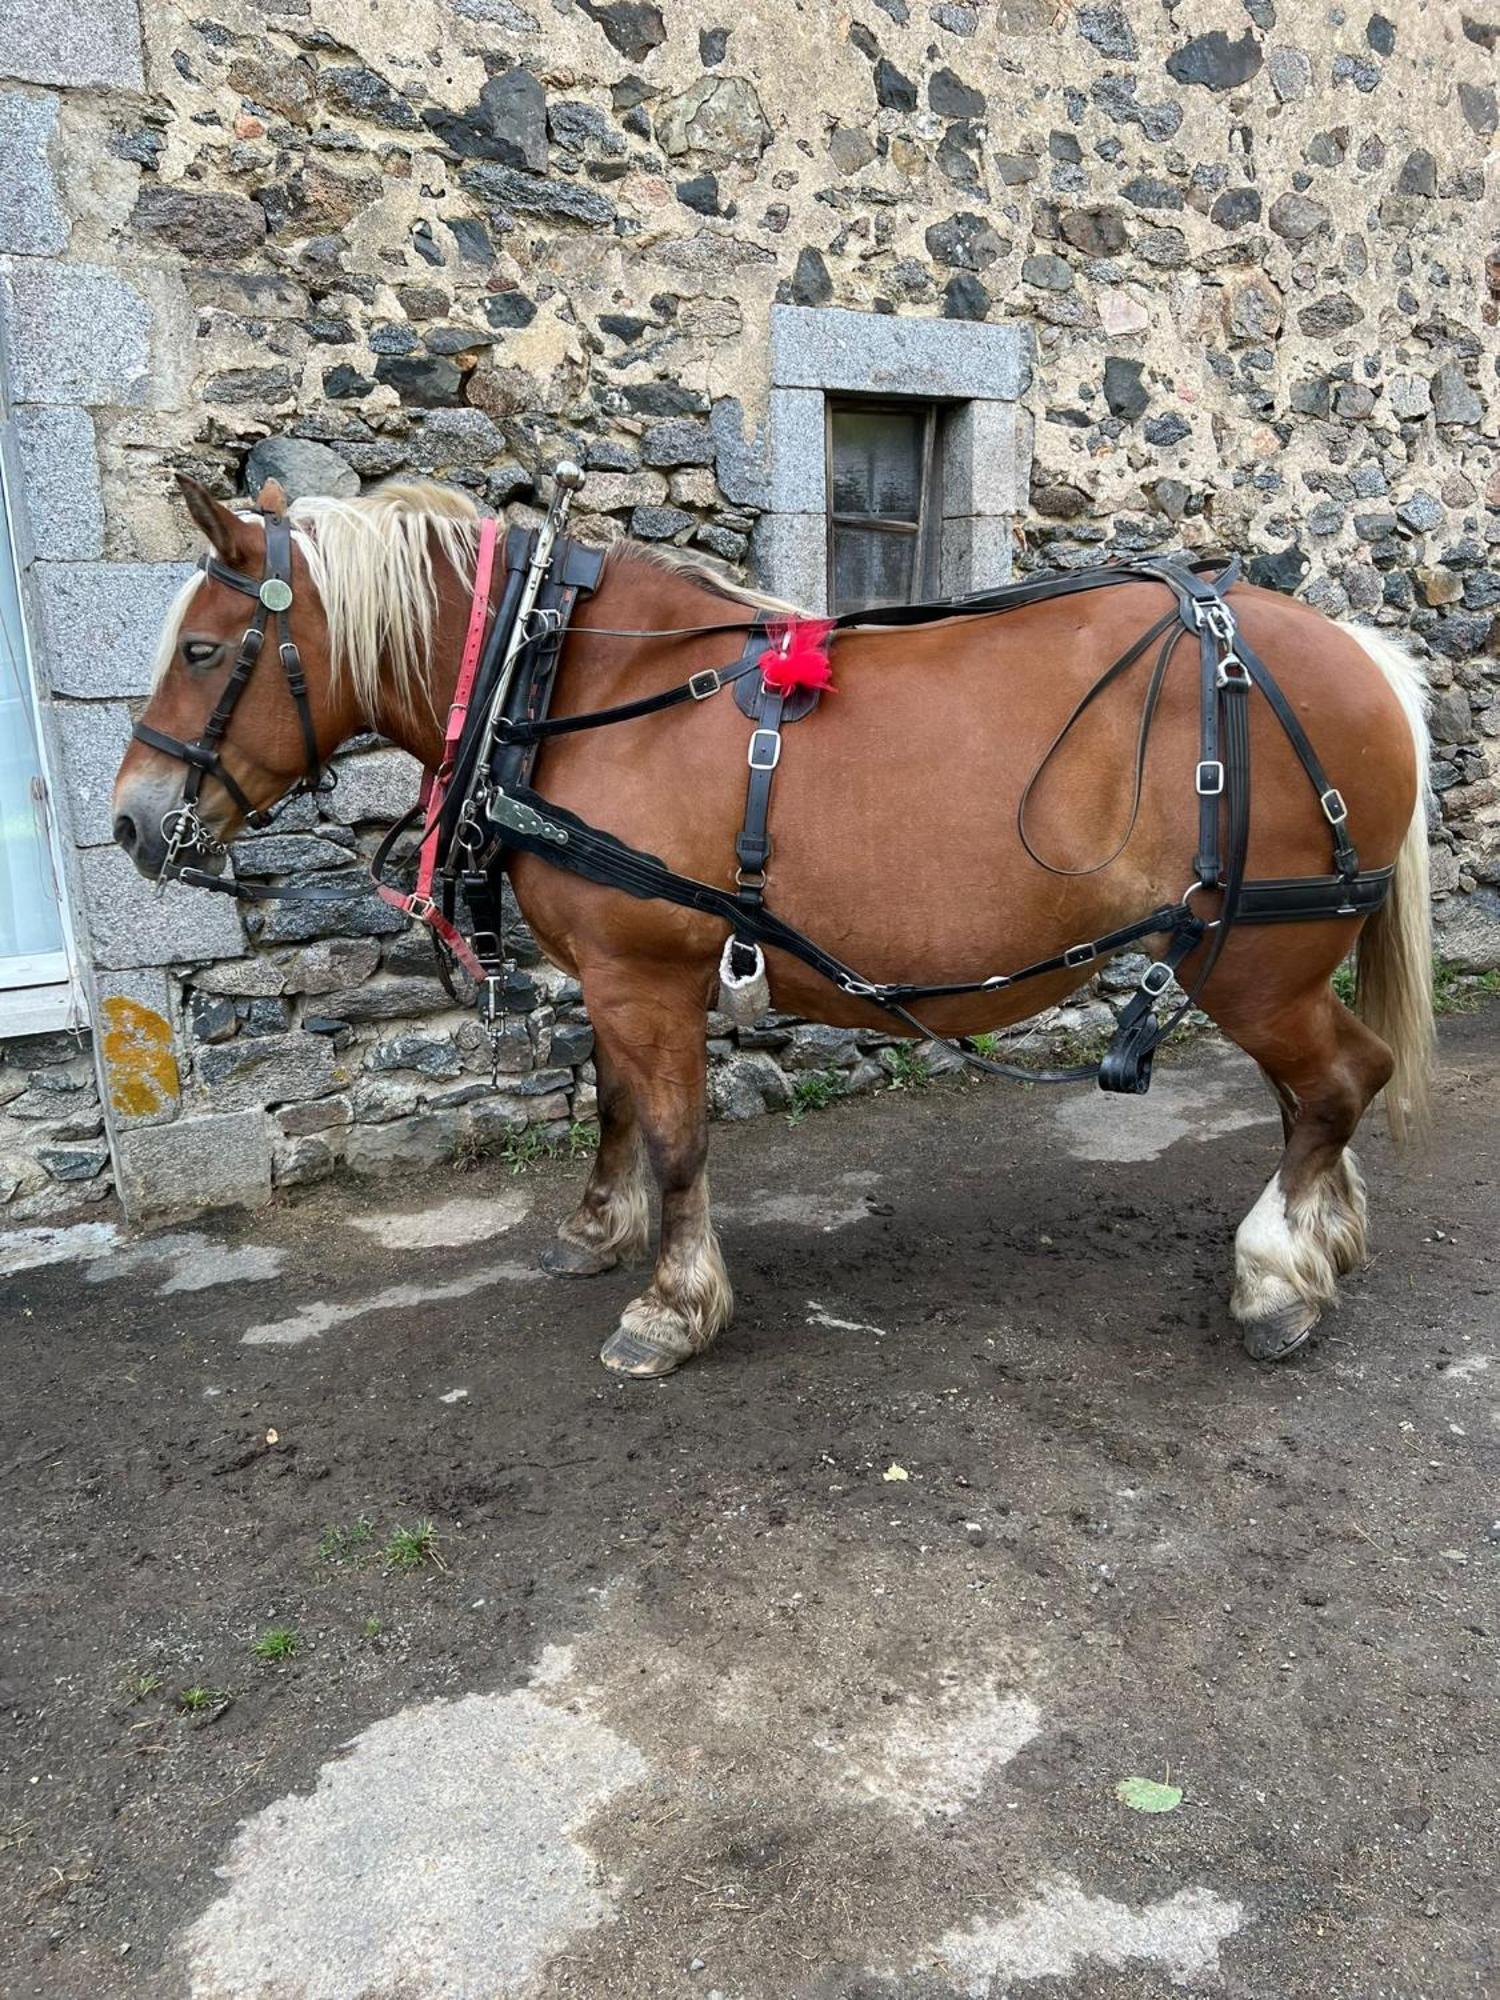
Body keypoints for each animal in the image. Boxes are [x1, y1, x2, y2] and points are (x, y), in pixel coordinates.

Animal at [114, 472, 1432, 1376]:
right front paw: (597, 1229)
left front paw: (672, 1303)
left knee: (1336, 1082)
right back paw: (1329, 1237)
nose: (130, 821)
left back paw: (1279, 1274)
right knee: (1314, 1095)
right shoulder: (619, 971)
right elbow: (615, 1107)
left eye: (204, 648)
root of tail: (1360, 652)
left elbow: (676, 1137)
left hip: (1255, 961)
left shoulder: (644, 971)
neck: (565, 682)